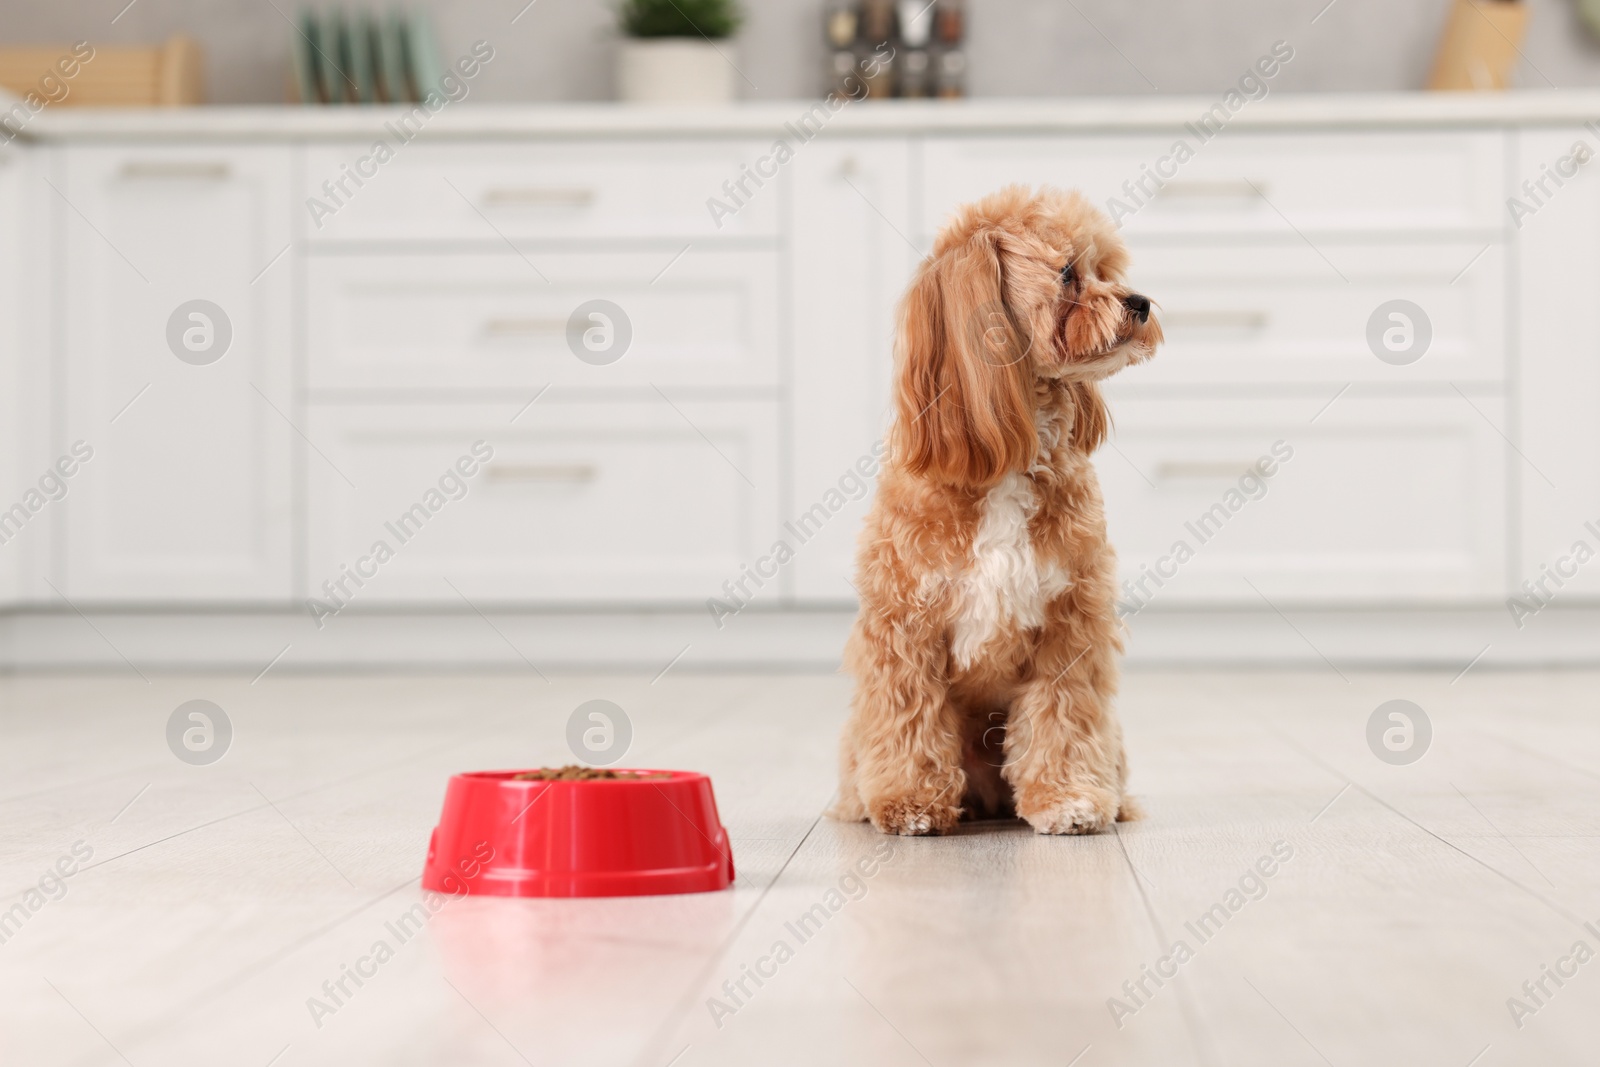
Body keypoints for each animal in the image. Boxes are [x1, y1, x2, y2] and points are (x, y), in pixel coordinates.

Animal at [825, 183, 1164, 831]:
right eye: (1067, 273)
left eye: (1107, 271)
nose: (1139, 302)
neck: (1007, 464)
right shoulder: (904, 628)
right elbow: (908, 719)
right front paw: (909, 803)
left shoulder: (1070, 624)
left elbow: (1063, 719)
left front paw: (1068, 798)